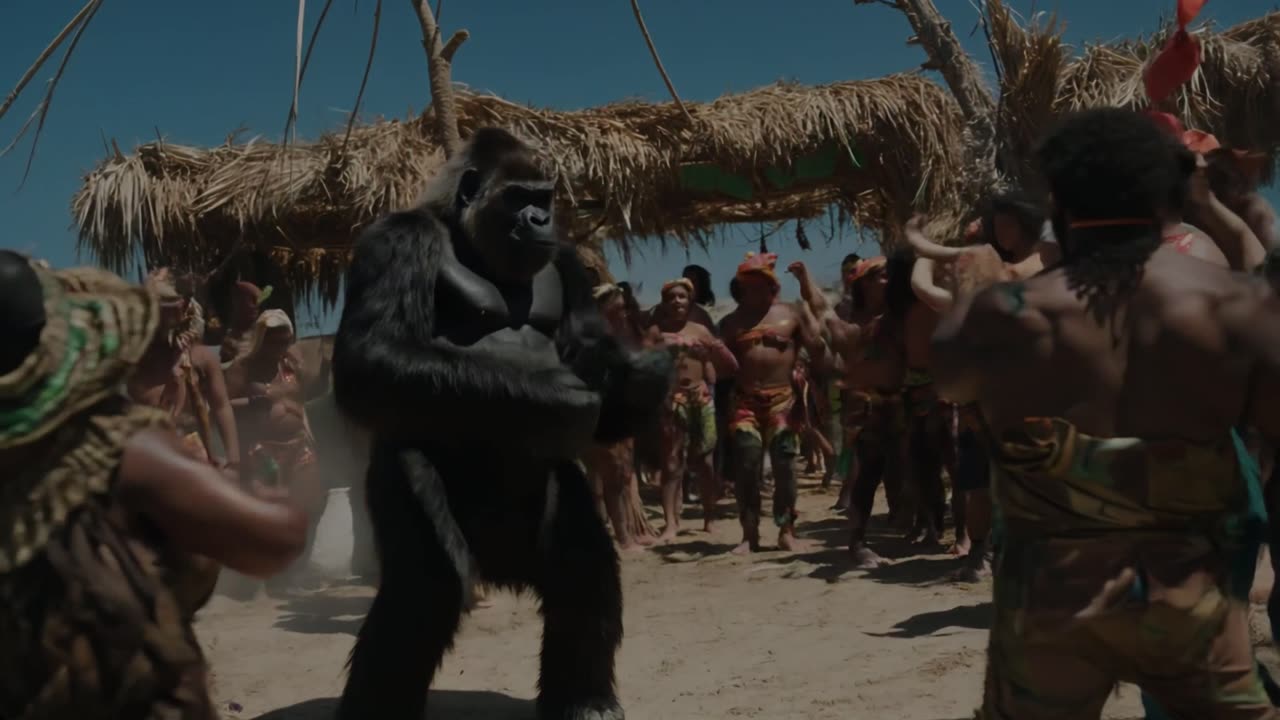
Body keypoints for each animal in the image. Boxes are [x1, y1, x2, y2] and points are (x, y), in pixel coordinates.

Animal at [331, 127, 672, 720]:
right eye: (517, 198)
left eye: (544, 197)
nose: (539, 220)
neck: (462, 233)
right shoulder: (394, 238)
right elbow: (371, 355)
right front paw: (554, 396)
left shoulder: (568, 260)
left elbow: (587, 350)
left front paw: (634, 384)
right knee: (423, 589)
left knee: (583, 567)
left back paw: (583, 699)